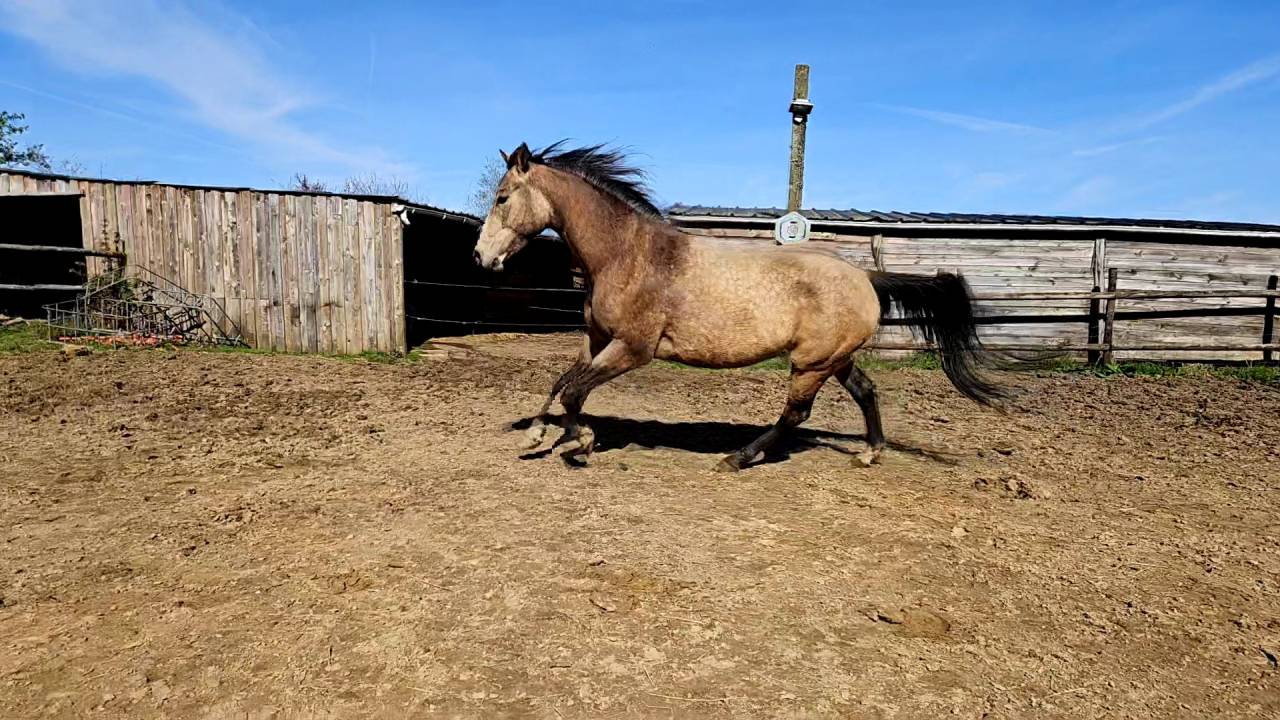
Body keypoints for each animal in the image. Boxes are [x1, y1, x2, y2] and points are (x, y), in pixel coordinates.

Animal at [473, 141, 1005, 471]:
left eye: (502, 197)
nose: (481, 257)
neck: (627, 254)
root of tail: (866, 277)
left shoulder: (632, 349)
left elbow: (575, 392)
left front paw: (579, 442)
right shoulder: (597, 339)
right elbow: (561, 384)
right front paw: (537, 435)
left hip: (810, 364)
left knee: (796, 415)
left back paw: (739, 457)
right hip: (834, 359)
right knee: (866, 392)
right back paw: (871, 453)